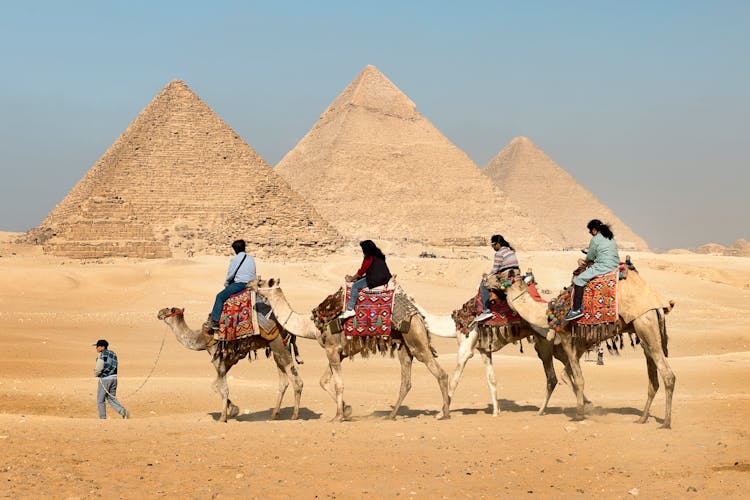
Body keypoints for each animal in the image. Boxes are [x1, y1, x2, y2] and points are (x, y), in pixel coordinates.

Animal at [157, 306, 304, 420]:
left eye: (169, 309)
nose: (159, 312)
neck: (201, 339)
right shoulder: (229, 360)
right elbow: (215, 385)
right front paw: (233, 409)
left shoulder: (217, 356)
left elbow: (222, 388)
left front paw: (223, 417)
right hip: (279, 346)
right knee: (284, 380)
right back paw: (274, 414)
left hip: (277, 342)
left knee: (296, 380)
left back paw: (294, 416)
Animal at [258, 280, 450, 420]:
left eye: (262, 283)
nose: (252, 284)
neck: (311, 325)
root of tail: (418, 314)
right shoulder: (339, 353)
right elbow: (324, 381)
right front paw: (346, 410)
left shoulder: (332, 349)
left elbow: (339, 384)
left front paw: (338, 416)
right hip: (404, 344)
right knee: (406, 381)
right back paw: (392, 415)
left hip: (416, 339)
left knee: (440, 373)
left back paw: (445, 413)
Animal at [484, 272, 680, 428]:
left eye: (500, 276)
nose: (486, 280)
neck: (547, 314)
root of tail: (660, 306)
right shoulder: (577, 344)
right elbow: (570, 374)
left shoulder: (566, 338)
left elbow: (578, 379)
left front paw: (579, 414)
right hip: (644, 333)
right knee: (653, 379)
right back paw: (642, 418)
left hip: (644, 324)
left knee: (668, 375)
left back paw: (666, 422)